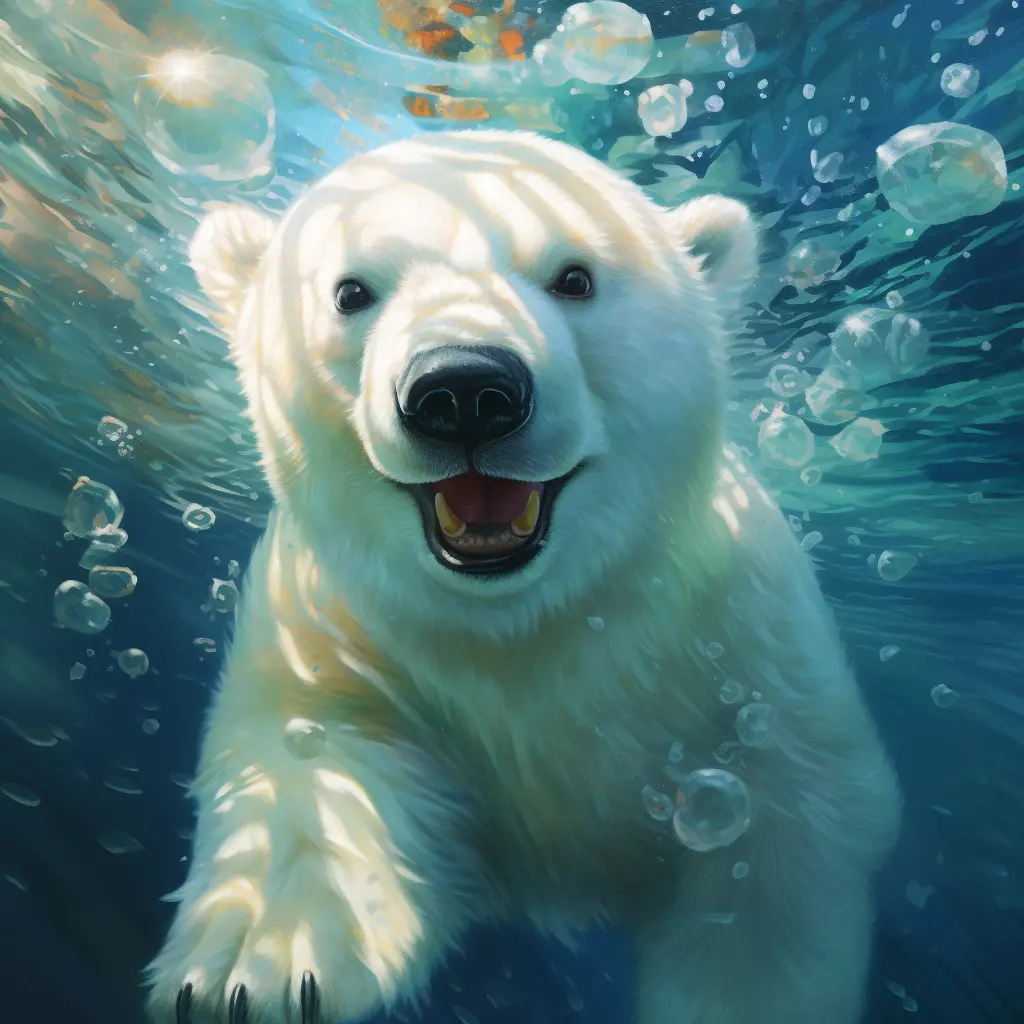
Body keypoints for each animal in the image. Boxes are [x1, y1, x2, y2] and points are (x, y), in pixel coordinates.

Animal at [146, 129, 901, 1024]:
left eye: (574, 277)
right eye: (351, 291)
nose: (464, 390)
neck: (524, 623)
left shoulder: (745, 655)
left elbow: (774, 874)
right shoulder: (335, 624)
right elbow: (311, 744)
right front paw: (252, 970)